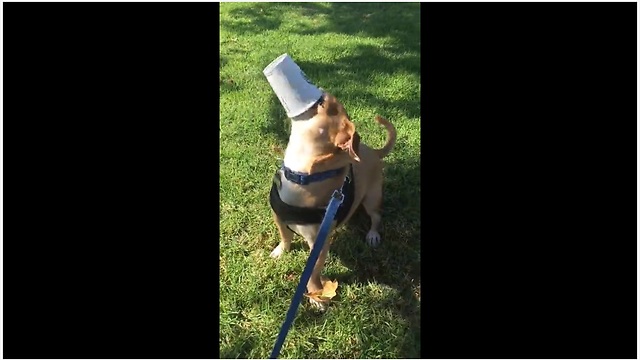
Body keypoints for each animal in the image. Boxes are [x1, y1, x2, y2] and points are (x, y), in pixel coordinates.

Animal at [268, 93, 396, 310]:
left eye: (330, 108)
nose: (323, 94)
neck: (302, 177)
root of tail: (374, 151)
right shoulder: (279, 218)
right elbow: (285, 237)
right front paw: (281, 251)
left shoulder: (318, 245)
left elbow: (312, 273)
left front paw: (315, 295)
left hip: (372, 199)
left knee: (376, 216)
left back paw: (373, 234)